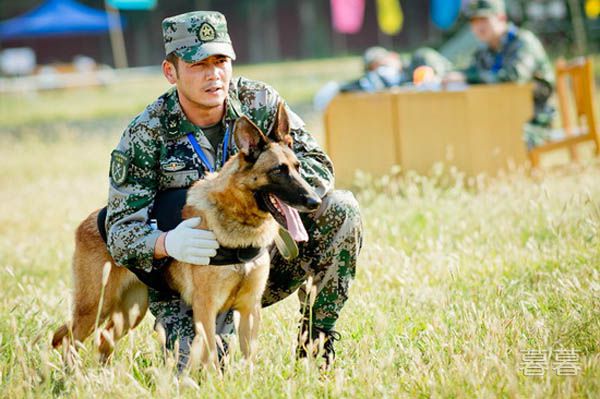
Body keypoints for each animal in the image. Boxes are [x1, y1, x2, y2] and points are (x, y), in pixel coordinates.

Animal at [51, 104, 322, 372]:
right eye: (278, 170)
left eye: (298, 167)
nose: (315, 201)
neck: (236, 219)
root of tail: (91, 220)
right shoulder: (206, 309)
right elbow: (212, 358)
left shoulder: (249, 310)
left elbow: (249, 362)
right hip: (96, 306)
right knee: (67, 338)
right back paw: (72, 375)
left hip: (130, 310)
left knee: (103, 338)